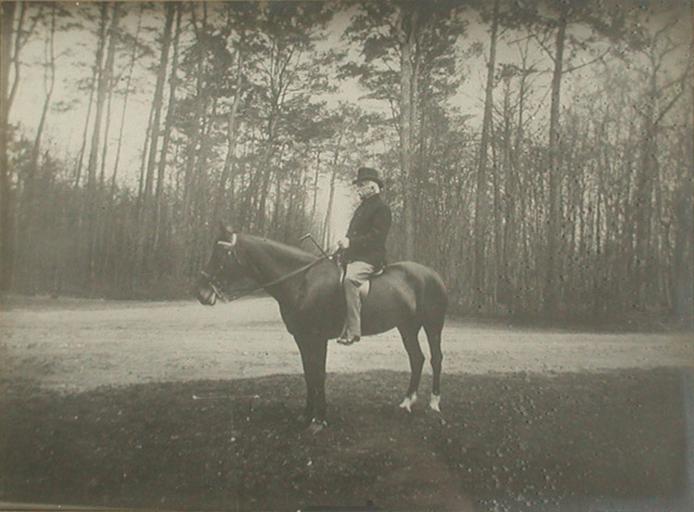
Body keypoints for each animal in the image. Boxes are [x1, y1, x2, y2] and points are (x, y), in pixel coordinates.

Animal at [197, 230, 446, 430]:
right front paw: (307, 416)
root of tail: (433, 274)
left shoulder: (317, 338)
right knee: (417, 358)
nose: (201, 293)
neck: (302, 281)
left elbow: (319, 374)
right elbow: (309, 375)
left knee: (435, 358)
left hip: (432, 326)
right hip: (407, 327)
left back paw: (434, 403)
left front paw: (319, 420)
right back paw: (406, 403)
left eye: (221, 254)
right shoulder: (302, 338)